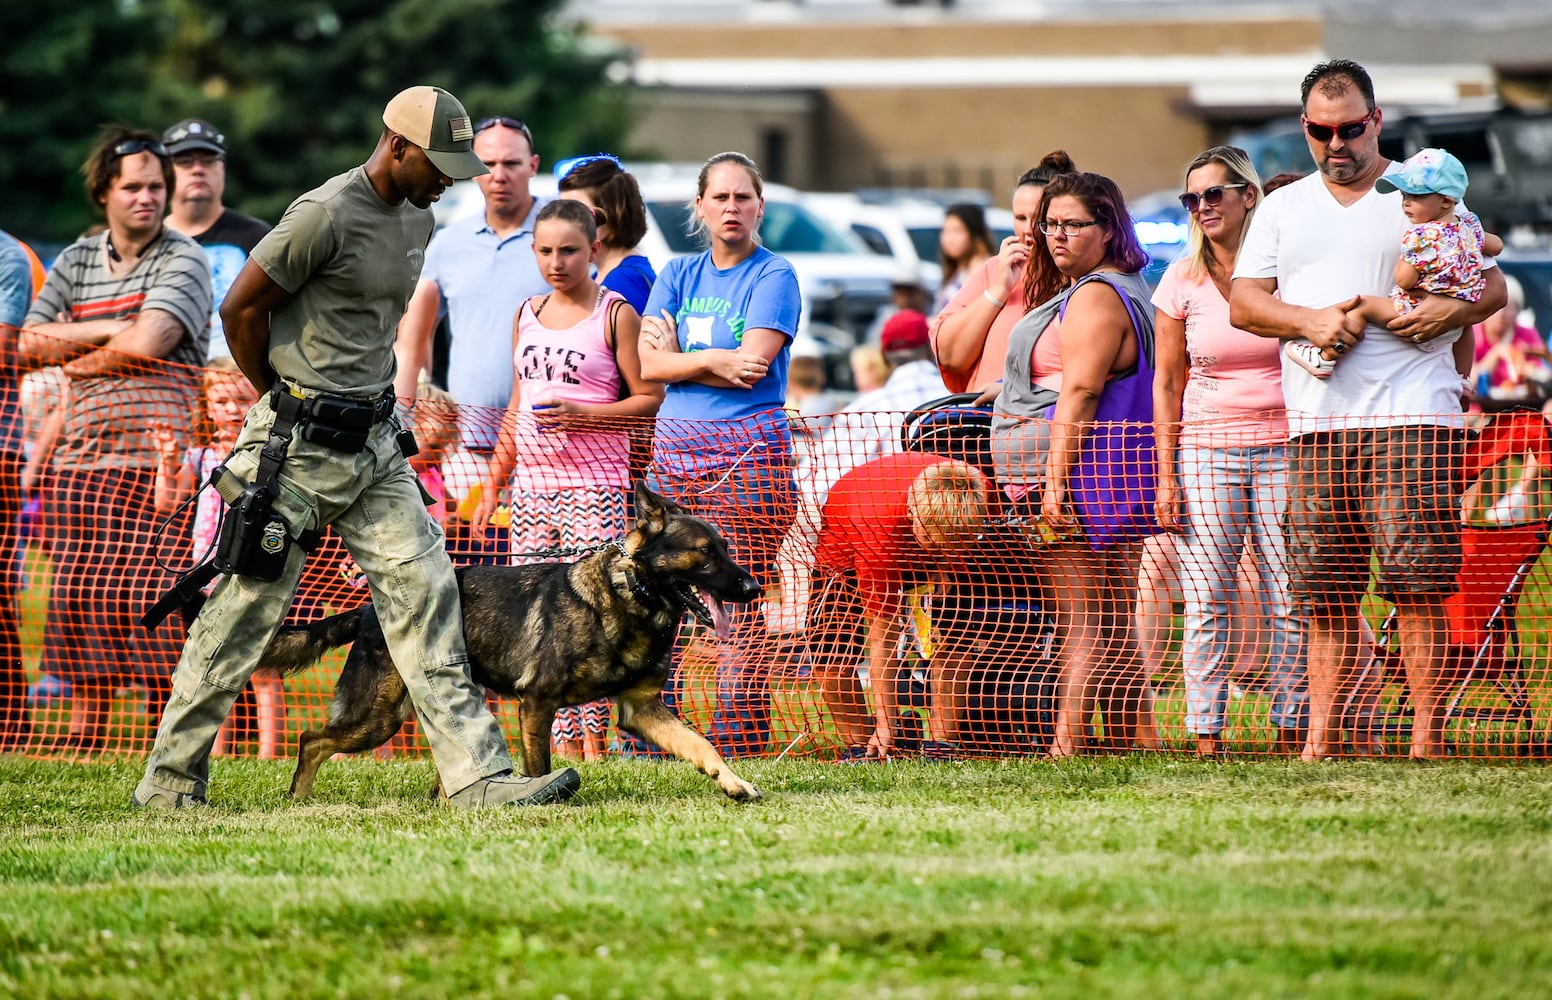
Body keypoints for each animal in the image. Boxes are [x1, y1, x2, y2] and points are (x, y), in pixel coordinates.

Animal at [252, 484, 763, 807]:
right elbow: (540, 766)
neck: (628, 595)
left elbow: (701, 745)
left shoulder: (643, 710)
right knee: (312, 740)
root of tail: (368, 611)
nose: (755, 587)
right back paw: (298, 799)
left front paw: (734, 783)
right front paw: (546, 798)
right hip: (377, 719)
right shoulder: (536, 704)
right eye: (705, 552)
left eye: (724, 547)